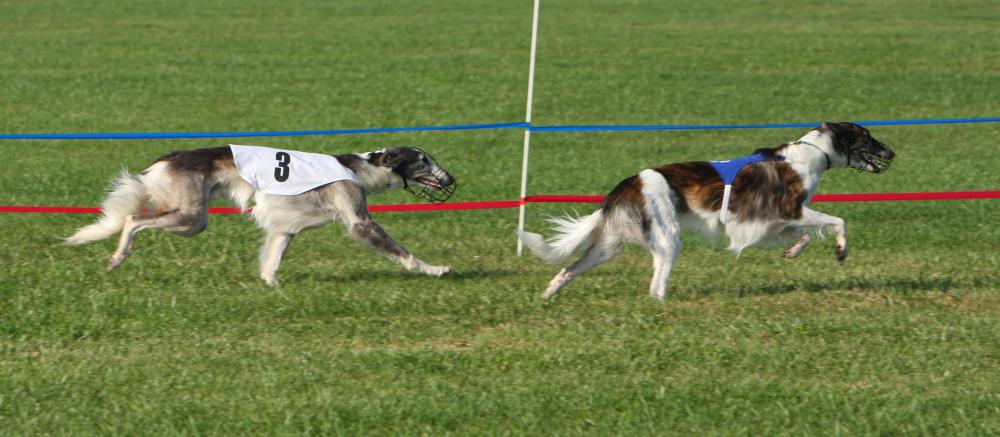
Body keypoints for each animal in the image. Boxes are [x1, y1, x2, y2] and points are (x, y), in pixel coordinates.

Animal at [66, 145, 456, 284]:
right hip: (191, 218)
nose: (451, 179)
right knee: (133, 220)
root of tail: (163, 161)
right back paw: (118, 257)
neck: (360, 168)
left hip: (188, 215)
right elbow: (403, 253)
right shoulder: (359, 220)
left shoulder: (285, 229)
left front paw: (271, 285)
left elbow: (272, 260)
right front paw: (437, 269)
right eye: (423, 160)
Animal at [519, 122, 895, 300]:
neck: (811, 154)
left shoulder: (765, 223)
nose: (892, 153)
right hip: (667, 239)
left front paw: (793, 251)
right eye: (866, 136)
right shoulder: (788, 208)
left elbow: (802, 235)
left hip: (609, 246)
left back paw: (548, 294)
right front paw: (842, 251)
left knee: (569, 268)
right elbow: (837, 220)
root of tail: (626, 185)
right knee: (656, 284)